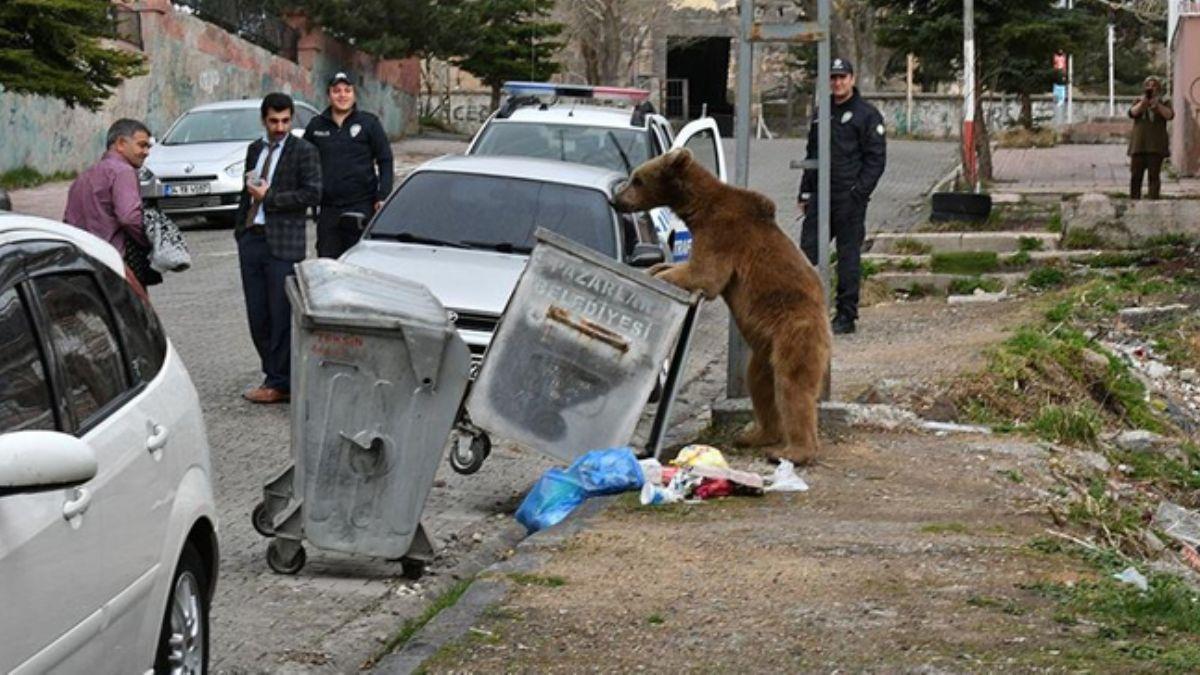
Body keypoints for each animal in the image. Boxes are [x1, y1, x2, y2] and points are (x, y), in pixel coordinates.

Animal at [614, 147, 830, 461]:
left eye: (637, 179)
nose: (616, 199)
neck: (698, 209)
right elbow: (684, 267)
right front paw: (656, 268)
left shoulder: (722, 235)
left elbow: (704, 274)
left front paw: (661, 274)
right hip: (764, 349)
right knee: (760, 384)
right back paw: (755, 434)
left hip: (793, 330)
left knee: (792, 386)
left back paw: (794, 451)